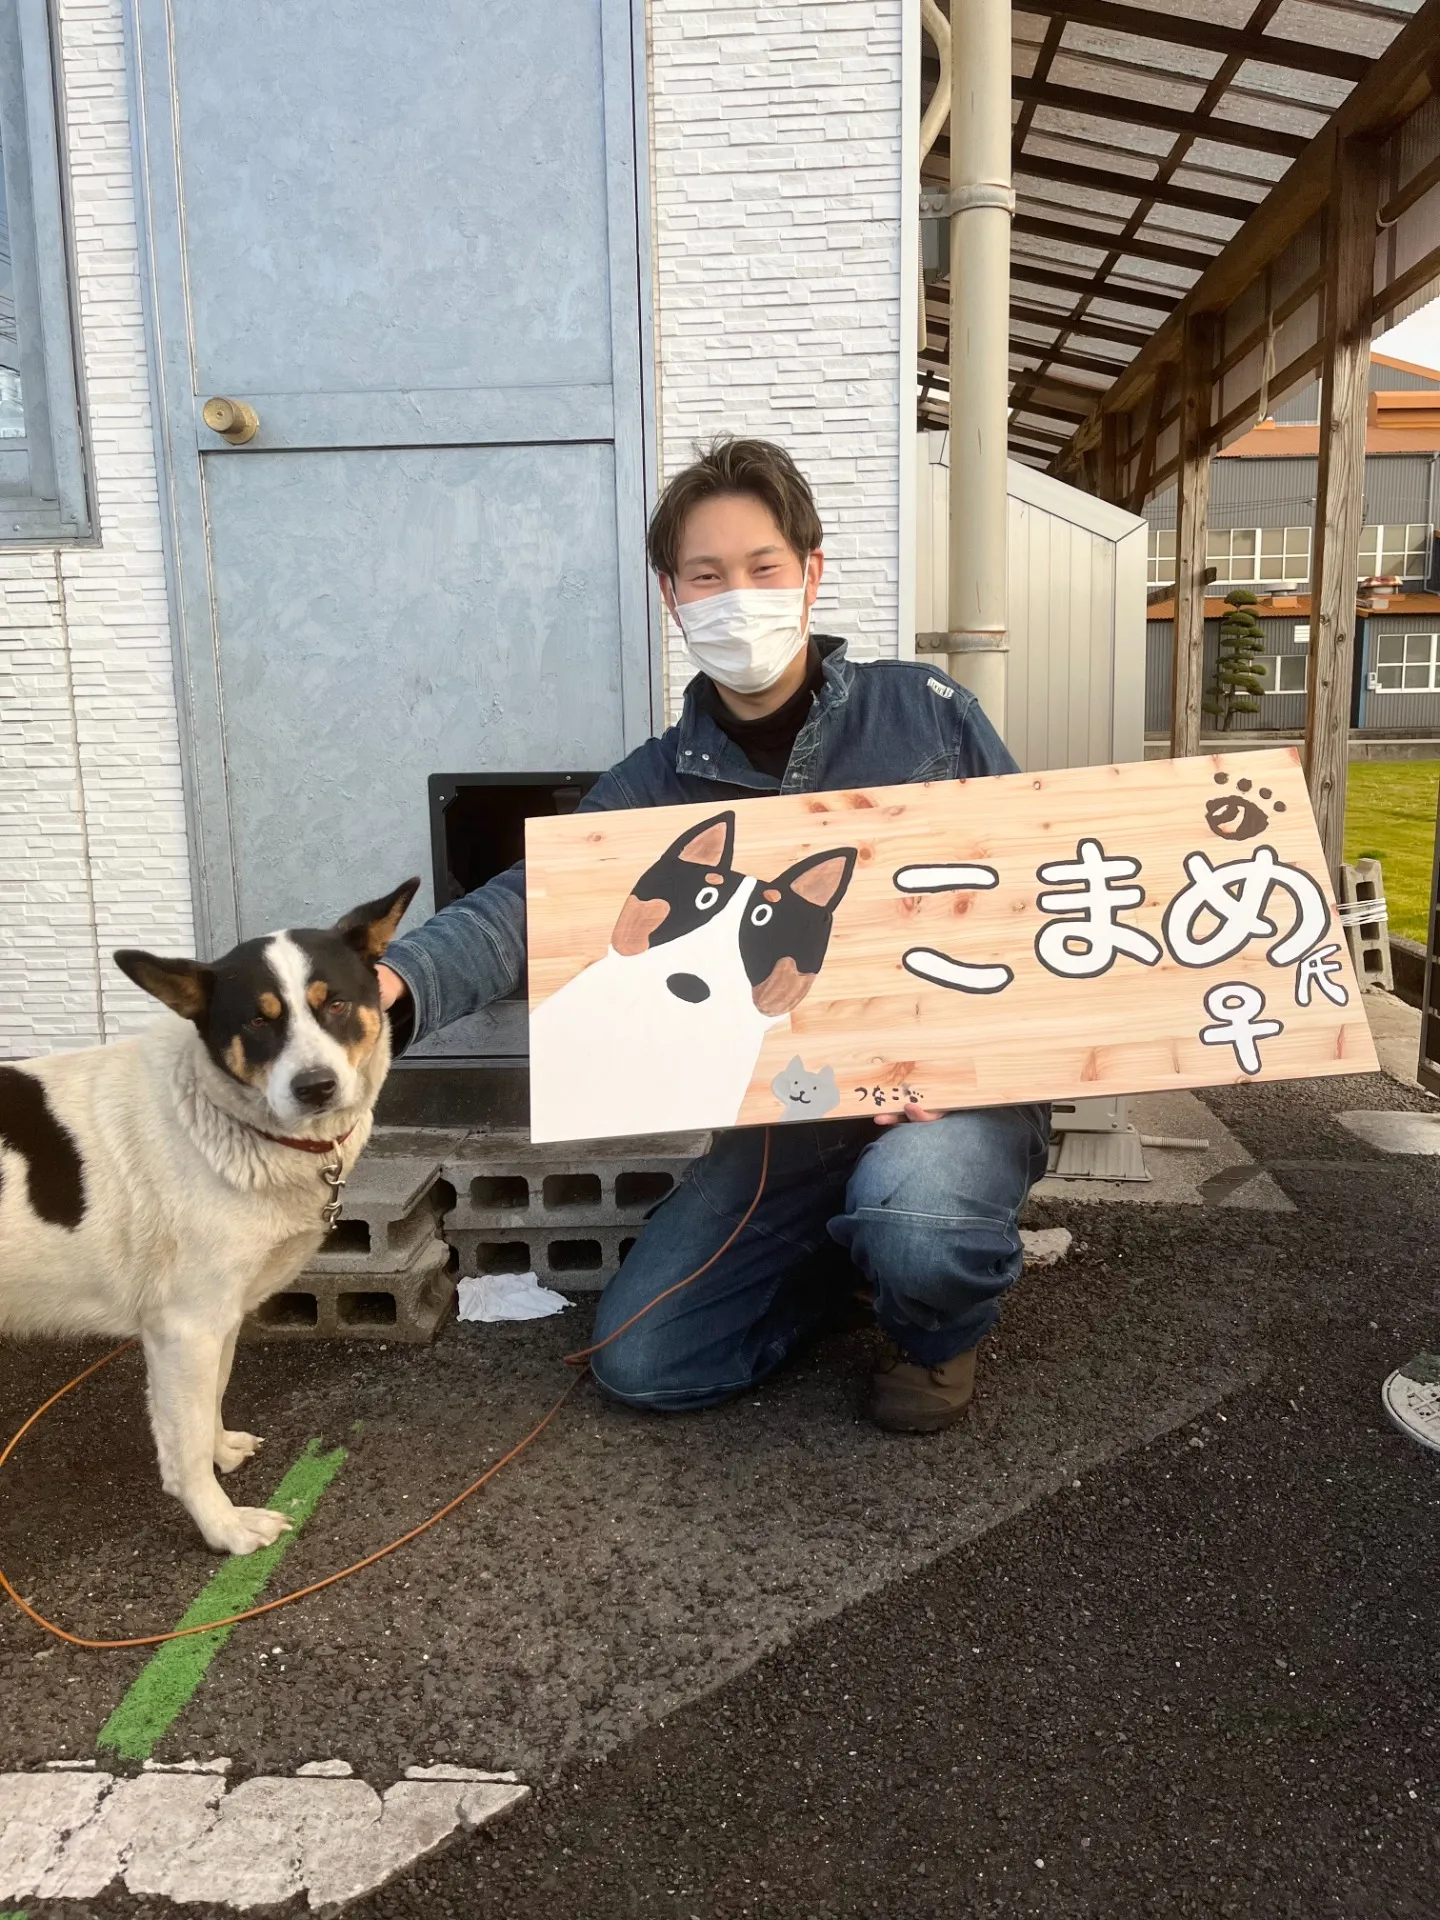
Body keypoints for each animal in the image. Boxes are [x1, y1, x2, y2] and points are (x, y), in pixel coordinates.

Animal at [0, 883, 416, 1559]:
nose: (316, 1087)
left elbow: (210, 1401)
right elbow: (185, 1449)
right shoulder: (184, 1326)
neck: (220, 1114)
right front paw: (223, 1526)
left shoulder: (220, 1316)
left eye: (335, 1004)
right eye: (258, 1021)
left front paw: (222, 1451)